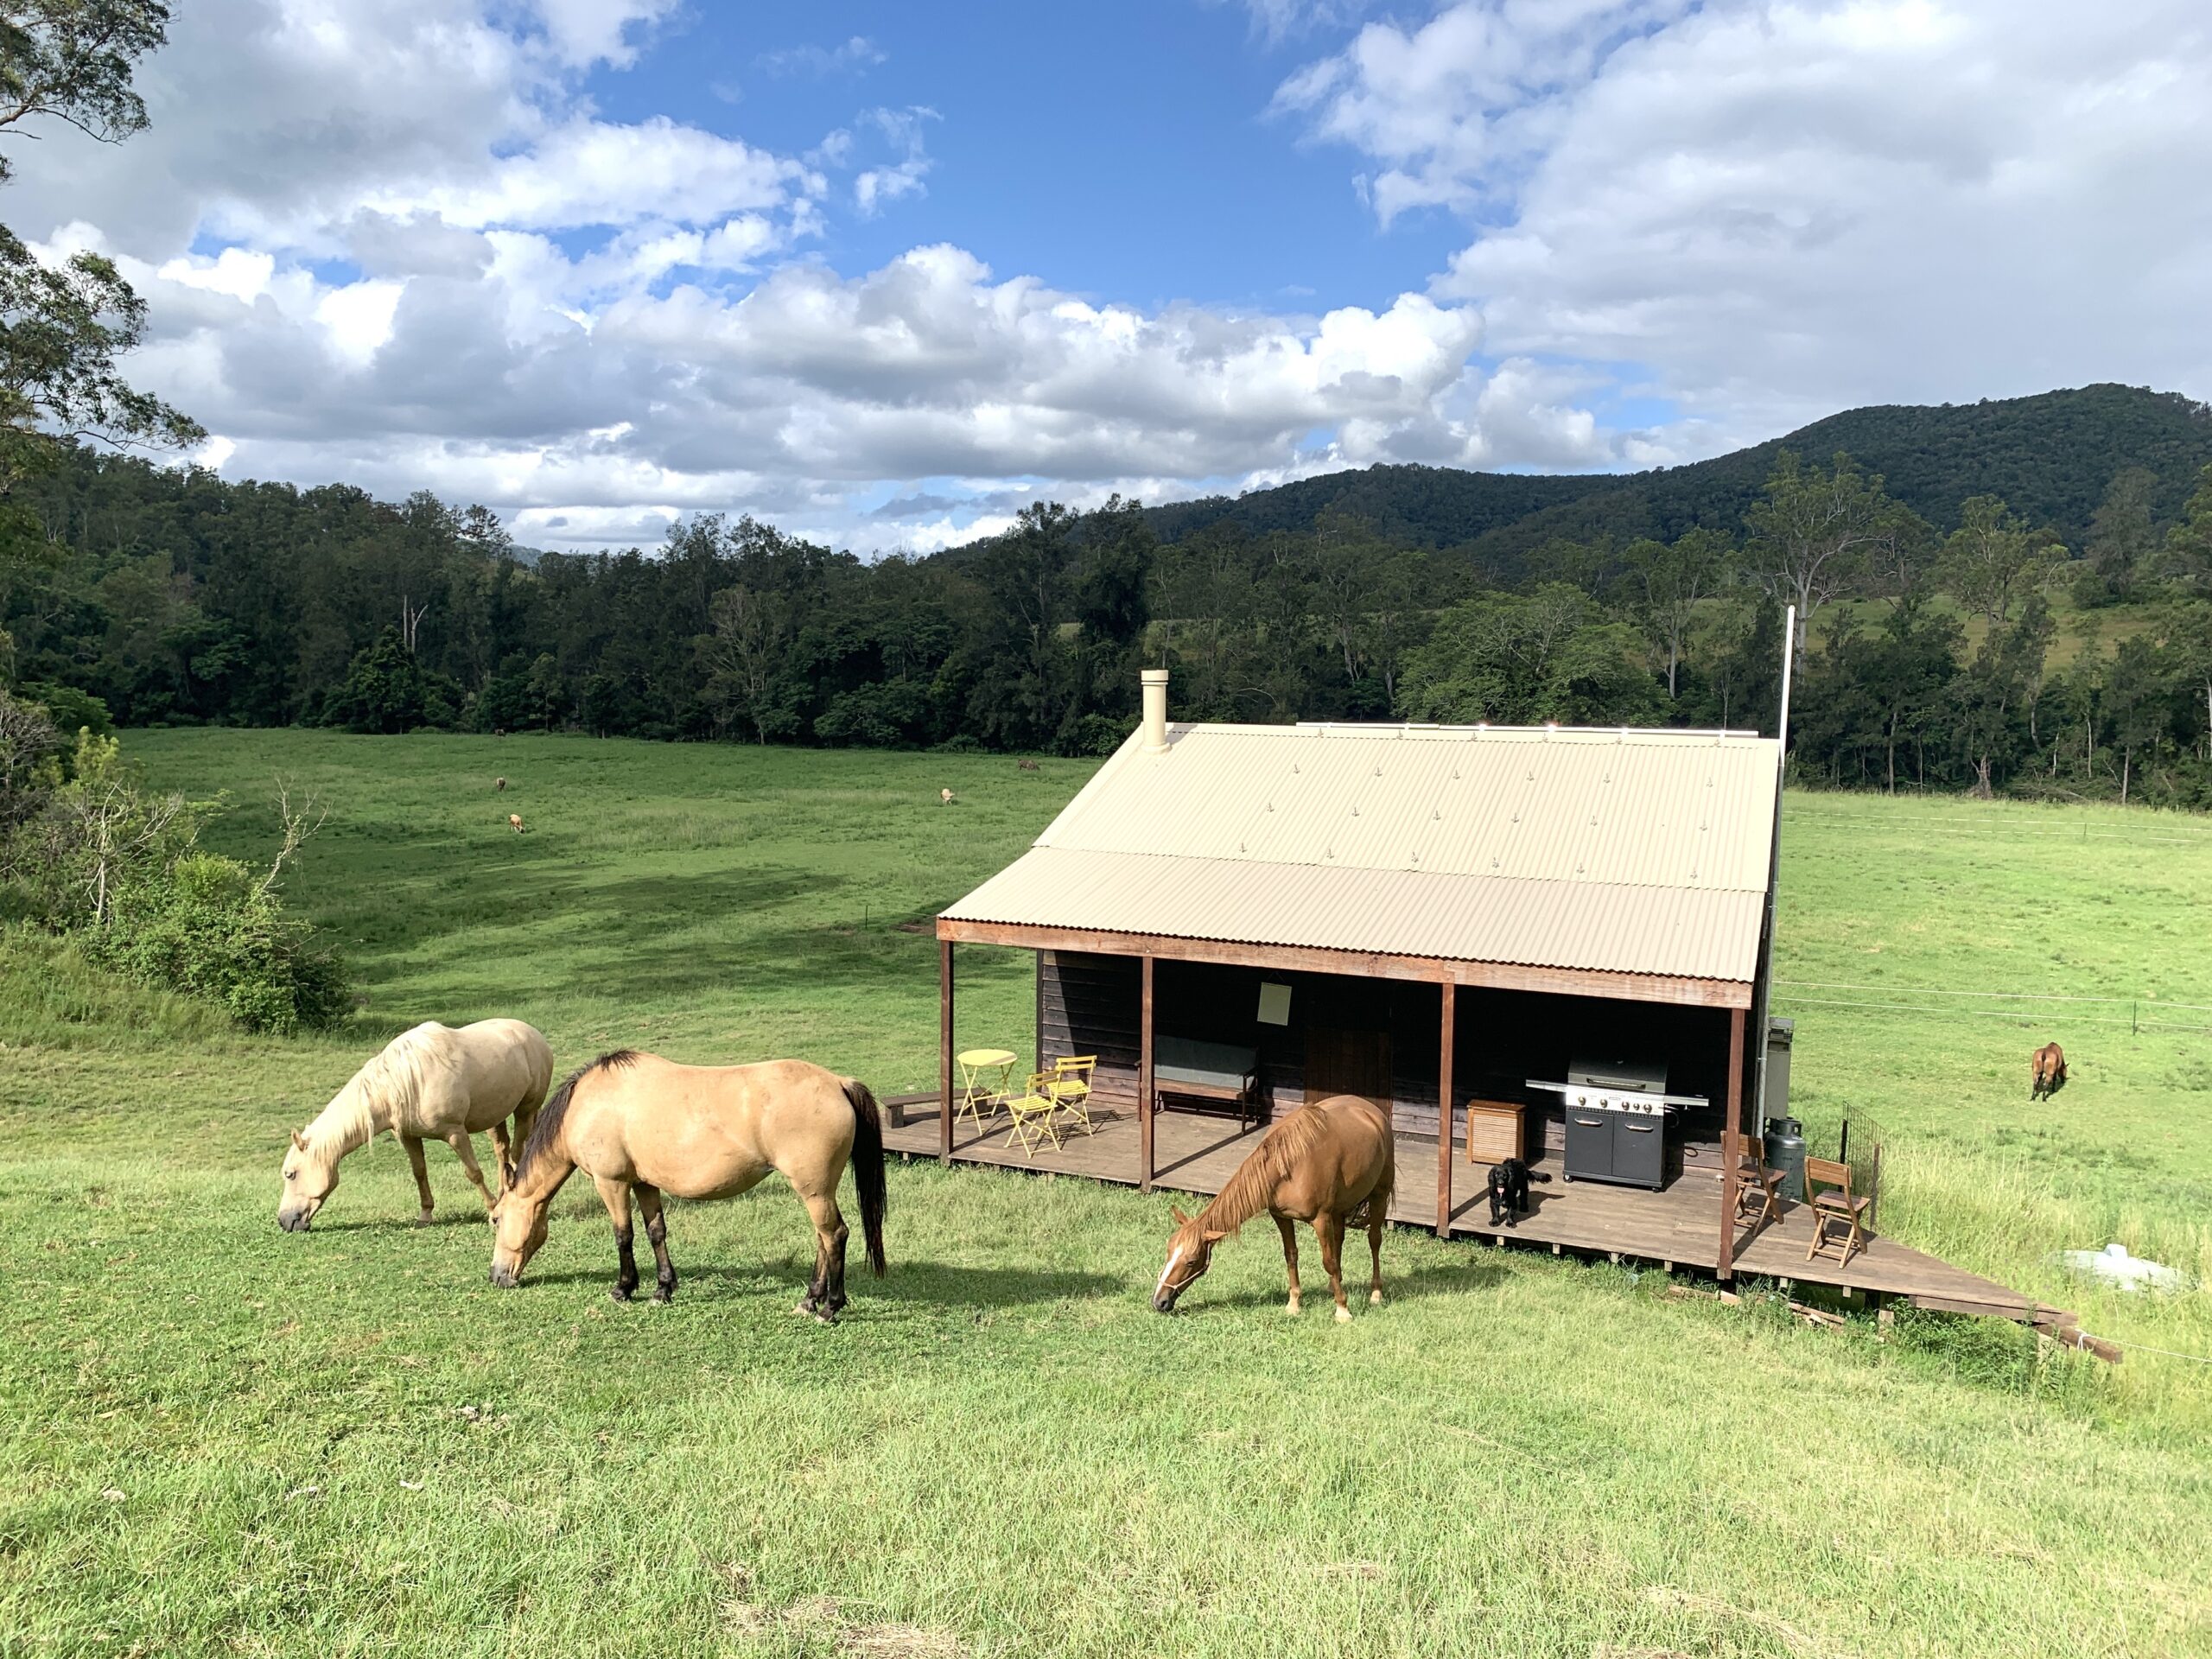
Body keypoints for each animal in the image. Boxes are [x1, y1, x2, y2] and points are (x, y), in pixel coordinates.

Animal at [276, 1013, 553, 1238]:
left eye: (291, 1174)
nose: (284, 1221)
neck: (402, 1082)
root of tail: (534, 1035)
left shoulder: (455, 1132)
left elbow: (473, 1172)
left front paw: (492, 1211)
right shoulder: (408, 1136)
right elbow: (419, 1172)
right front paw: (425, 1215)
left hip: (526, 1110)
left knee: (517, 1152)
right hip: (495, 1117)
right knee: (501, 1152)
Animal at [488, 1052, 885, 1327]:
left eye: (496, 1220)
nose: (495, 1277)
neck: (588, 1104)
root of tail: (838, 1083)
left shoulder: (611, 1183)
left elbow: (623, 1235)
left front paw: (623, 1289)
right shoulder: (644, 1183)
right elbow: (655, 1232)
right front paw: (662, 1289)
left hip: (814, 1190)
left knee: (834, 1235)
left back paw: (830, 1307)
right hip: (816, 1190)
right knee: (823, 1239)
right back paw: (809, 1301)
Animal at [1150, 1106, 1389, 1327]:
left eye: (1191, 1261)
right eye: (1168, 1250)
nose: (1159, 1302)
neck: (1289, 1166)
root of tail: (1370, 1111)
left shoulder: (1321, 1219)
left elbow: (1328, 1262)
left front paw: (1342, 1310)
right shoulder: (1282, 1217)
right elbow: (1291, 1256)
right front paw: (1294, 1304)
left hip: (1379, 1195)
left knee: (1374, 1241)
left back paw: (1376, 1293)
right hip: (1338, 1209)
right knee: (1339, 1239)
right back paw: (1334, 1284)